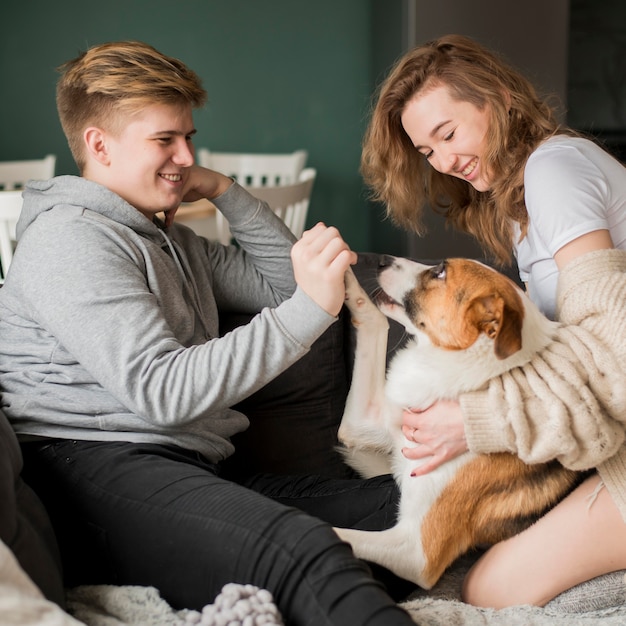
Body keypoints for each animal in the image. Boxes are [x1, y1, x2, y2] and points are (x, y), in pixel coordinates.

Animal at [336, 256, 580, 588]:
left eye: (440, 272)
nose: (383, 259)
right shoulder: (363, 422)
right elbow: (375, 321)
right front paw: (340, 275)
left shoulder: (417, 553)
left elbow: (338, 534)